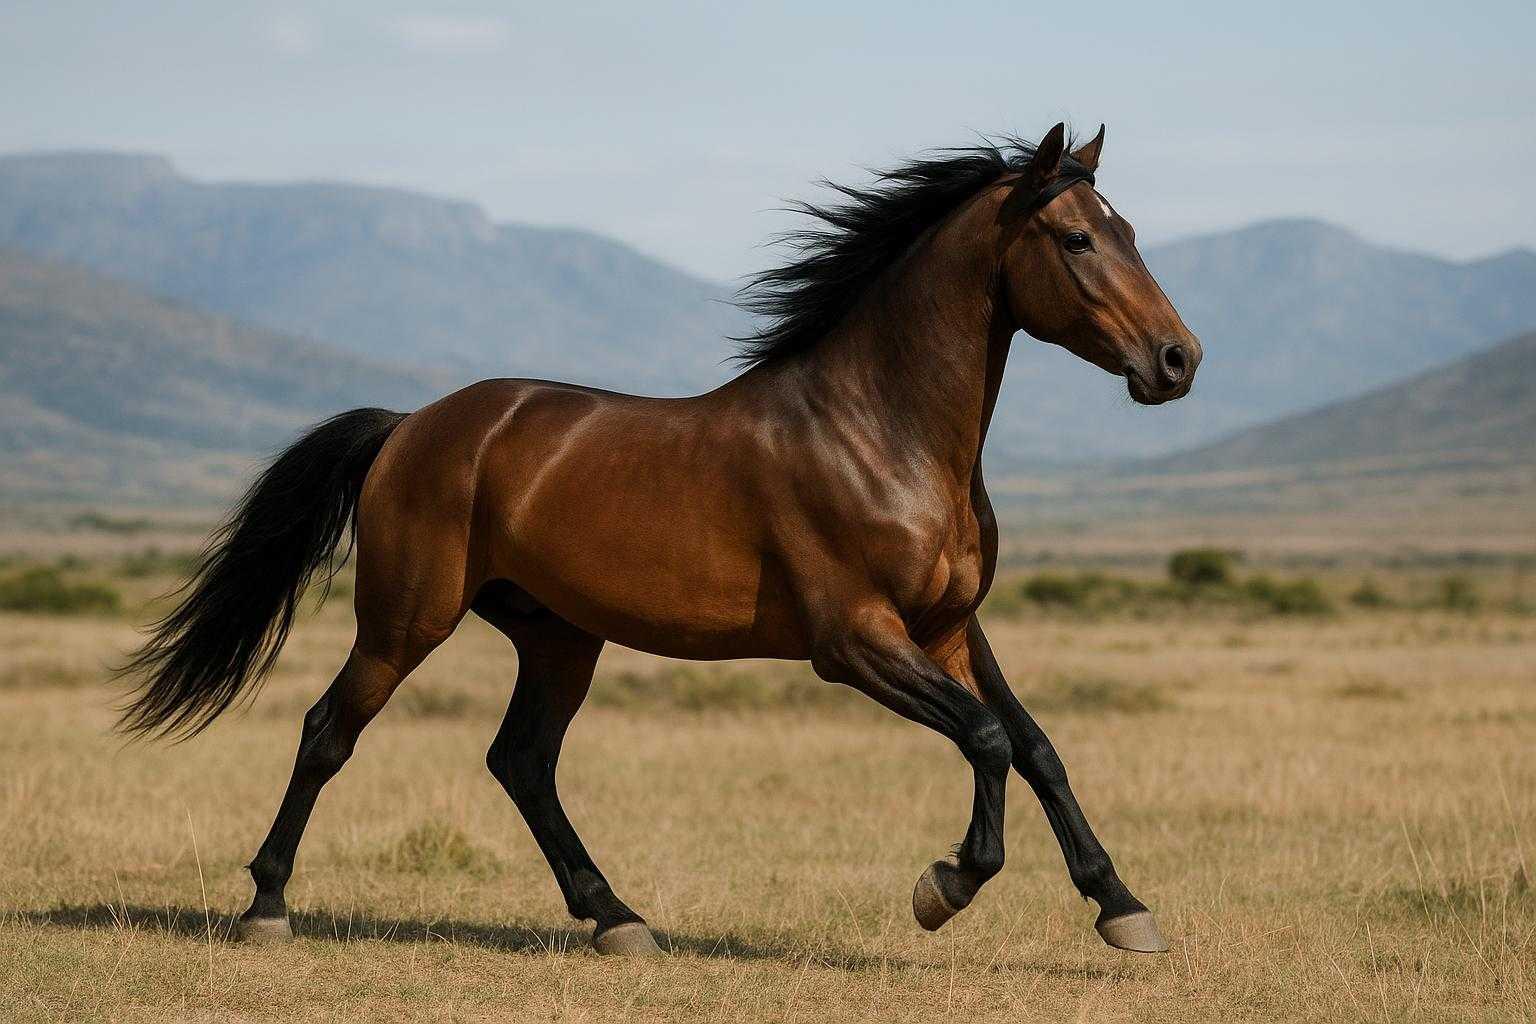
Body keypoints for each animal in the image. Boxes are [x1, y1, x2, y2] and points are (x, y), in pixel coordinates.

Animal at [119, 122, 1202, 957]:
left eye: (1129, 231)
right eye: (1075, 237)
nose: (1178, 359)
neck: (880, 431)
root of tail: (410, 424)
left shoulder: (948, 629)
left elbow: (1036, 745)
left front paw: (1123, 909)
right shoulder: (853, 640)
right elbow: (986, 738)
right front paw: (942, 888)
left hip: (558, 635)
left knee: (521, 762)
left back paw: (617, 918)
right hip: (405, 620)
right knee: (328, 732)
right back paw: (267, 907)